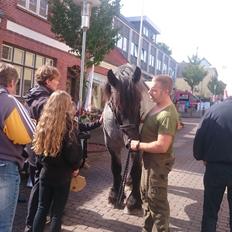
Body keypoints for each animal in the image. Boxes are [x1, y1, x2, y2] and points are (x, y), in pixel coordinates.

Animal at [103, 63, 150, 214]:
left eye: (139, 104)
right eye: (116, 107)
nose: (134, 140)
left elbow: (136, 170)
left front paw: (134, 201)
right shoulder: (111, 144)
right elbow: (116, 168)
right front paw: (114, 195)